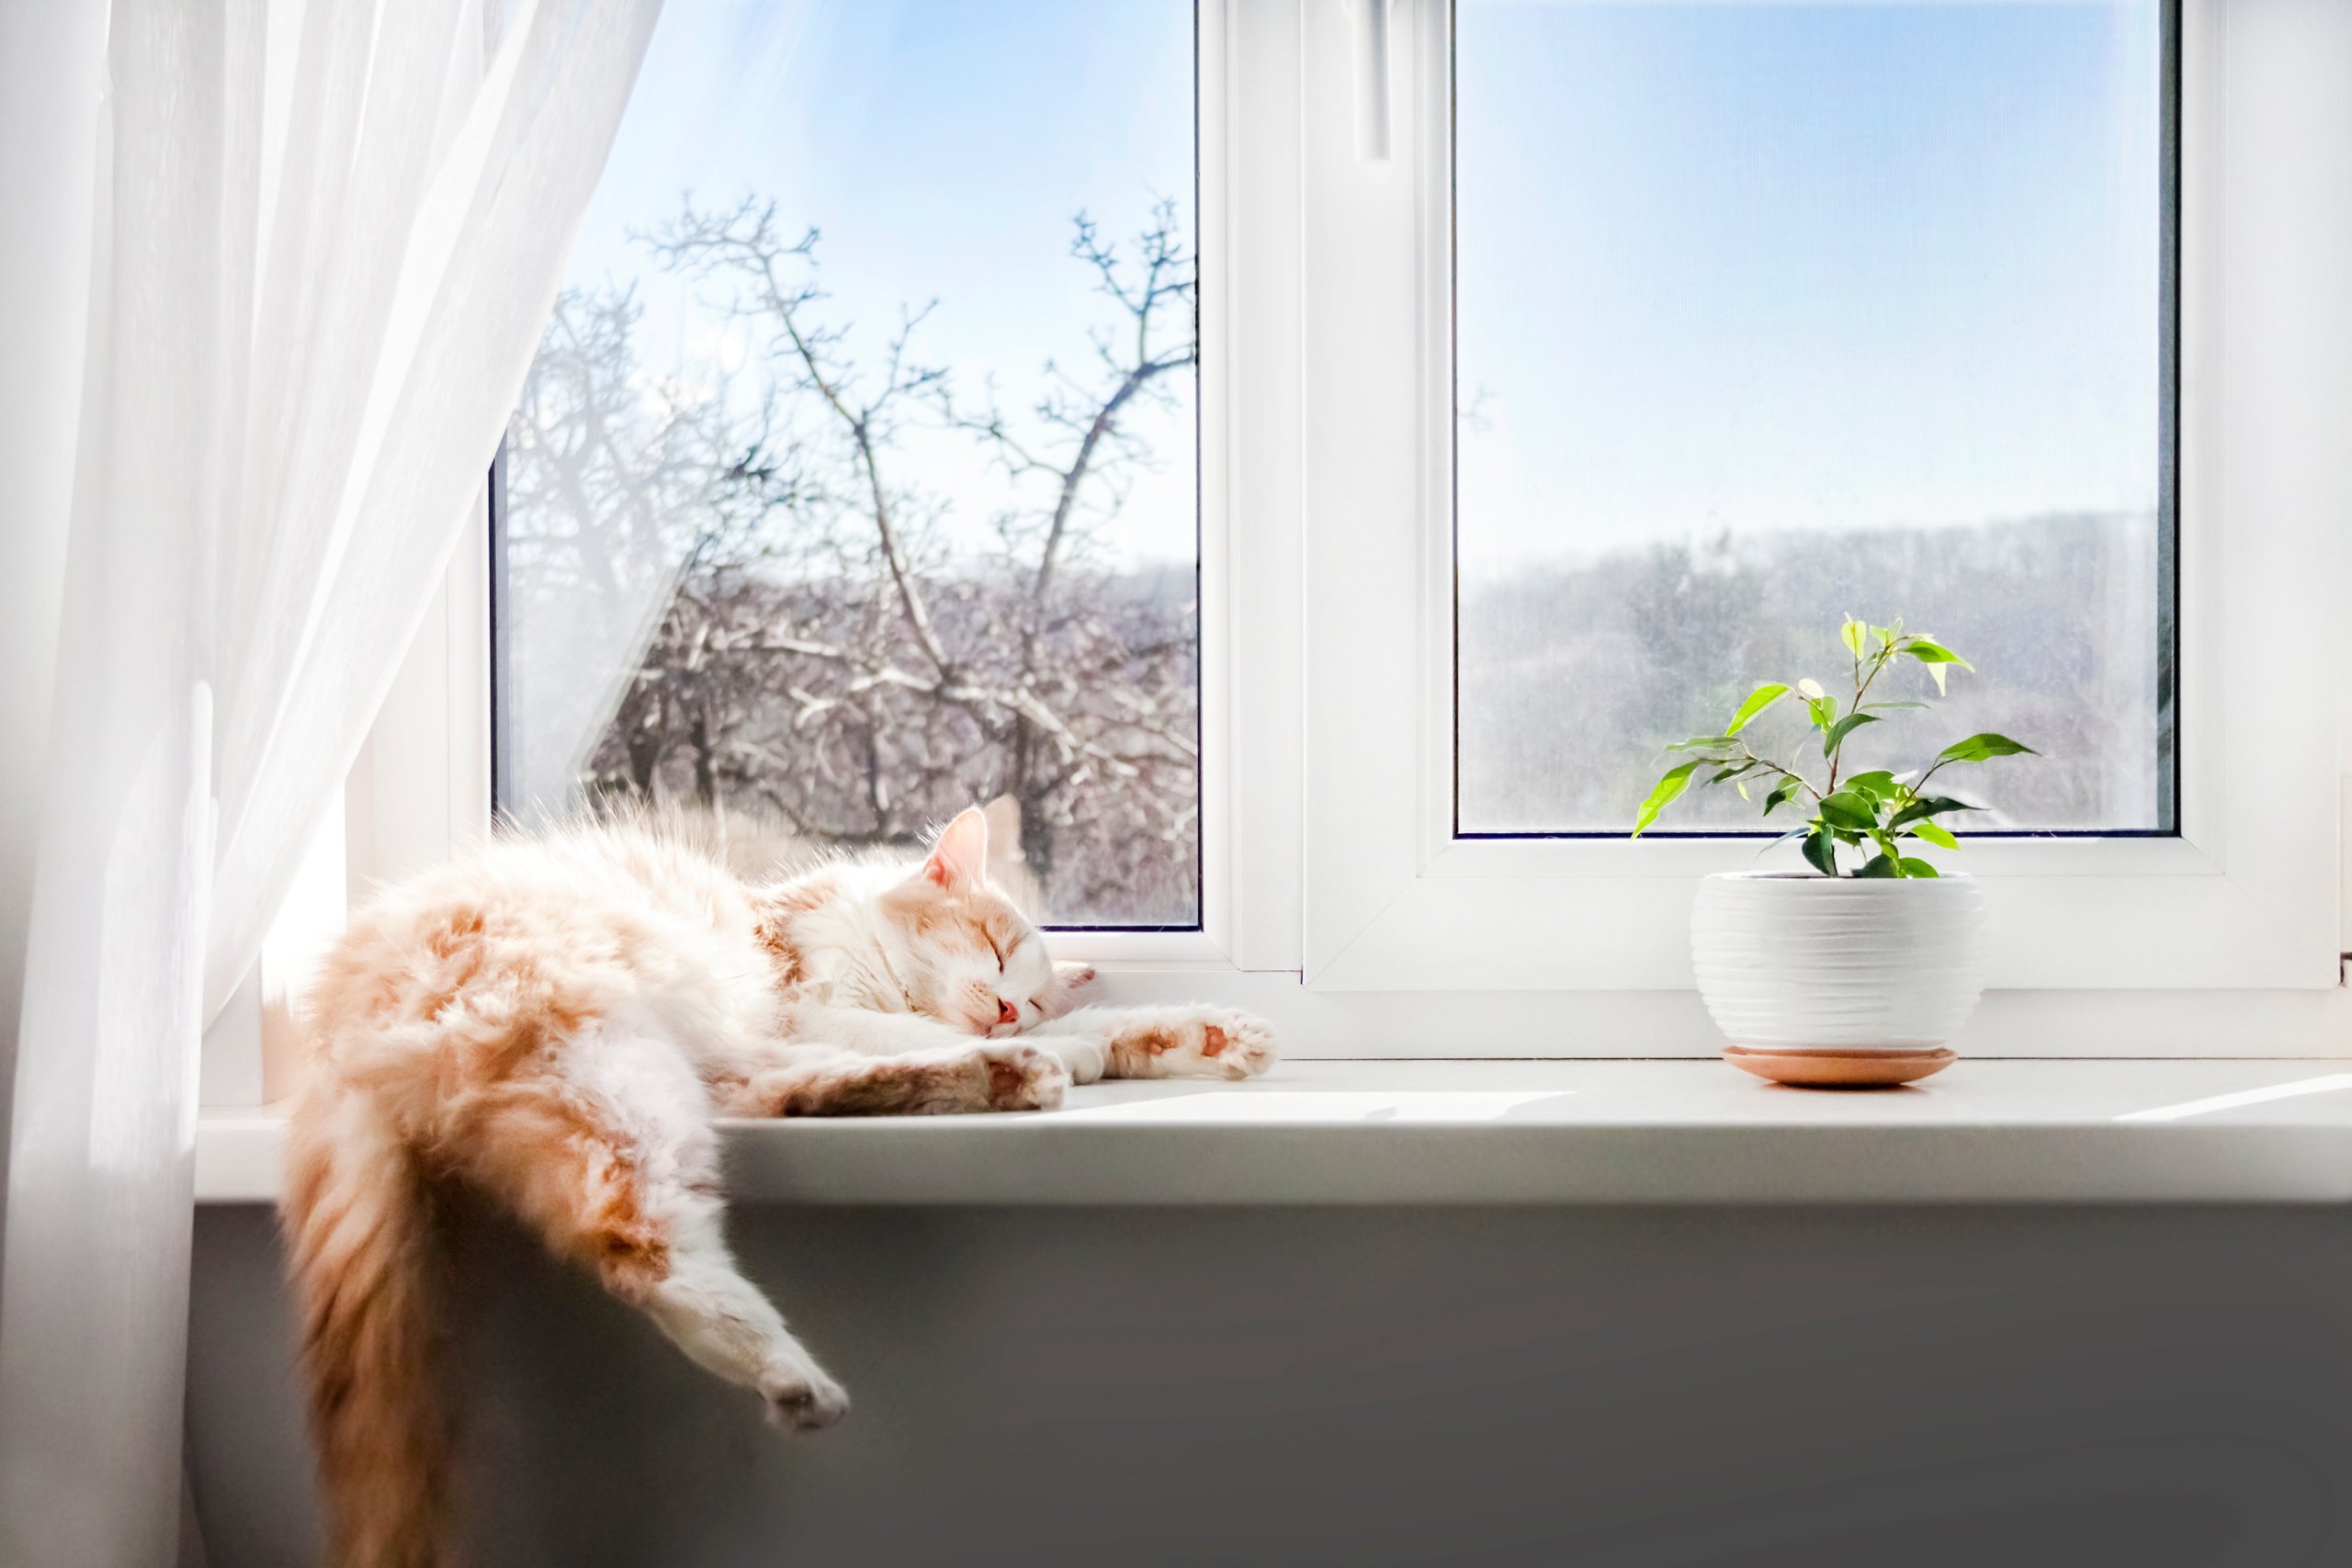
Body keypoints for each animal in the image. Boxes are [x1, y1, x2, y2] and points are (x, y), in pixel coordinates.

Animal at [282, 808, 1279, 1568]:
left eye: (1030, 989)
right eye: (995, 947)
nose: (1009, 1012)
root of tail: (334, 1027)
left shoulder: (798, 1025)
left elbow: (1102, 1028)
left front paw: (1203, 1035)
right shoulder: (810, 1002)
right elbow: (916, 1028)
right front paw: (1069, 1045)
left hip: (683, 1075)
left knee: (796, 1095)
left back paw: (1008, 1074)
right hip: (612, 1062)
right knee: (637, 1241)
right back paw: (794, 1373)